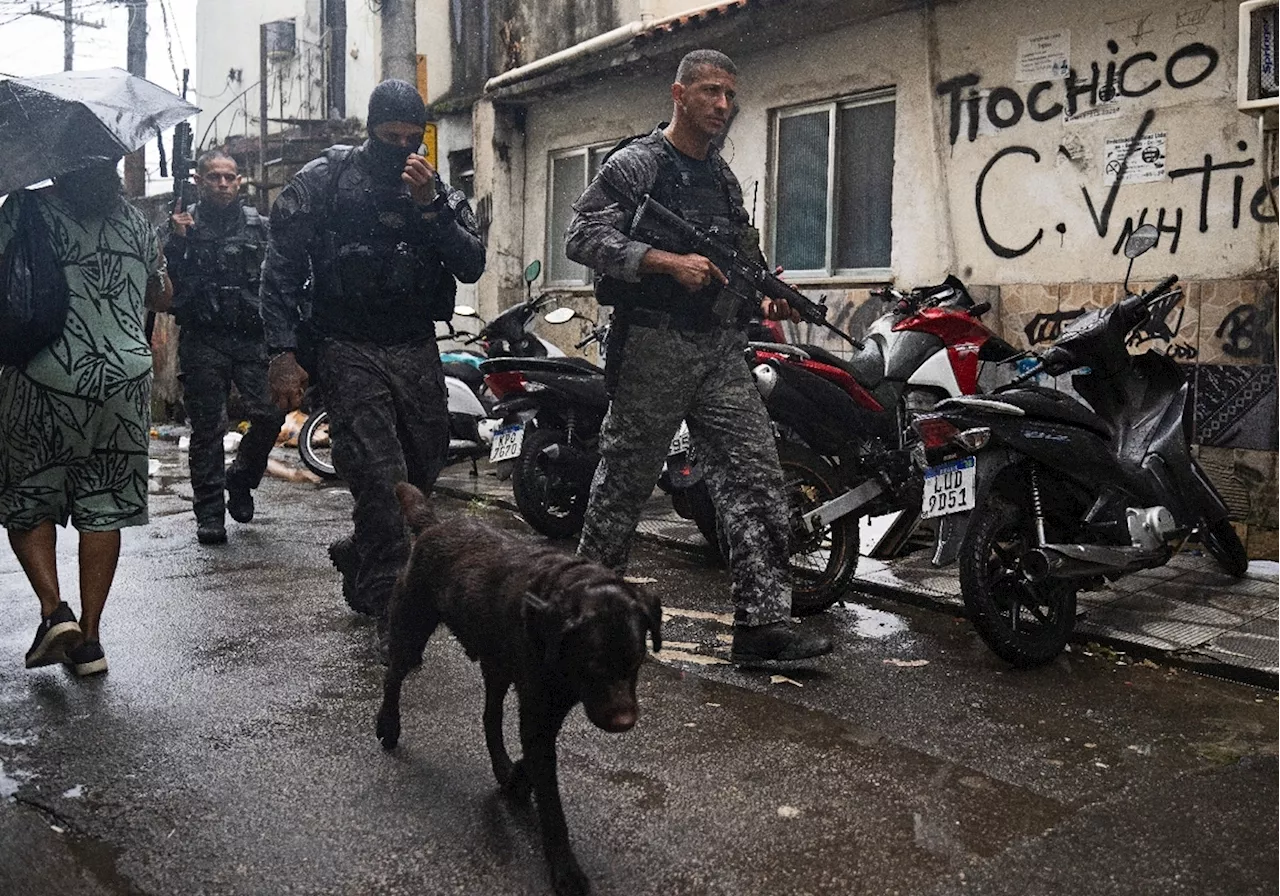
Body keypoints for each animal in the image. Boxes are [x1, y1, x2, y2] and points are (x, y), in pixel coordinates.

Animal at [376, 483, 660, 896]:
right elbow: (552, 804)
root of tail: (434, 525)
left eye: (637, 663)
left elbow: (532, 758)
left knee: (490, 717)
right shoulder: (540, 710)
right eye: (593, 667)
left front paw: (516, 780)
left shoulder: (549, 708)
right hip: (412, 631)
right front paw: (565, 870)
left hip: (495, 666)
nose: (624, 721)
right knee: (394, 677)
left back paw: (502, 769)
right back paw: (388, 725)